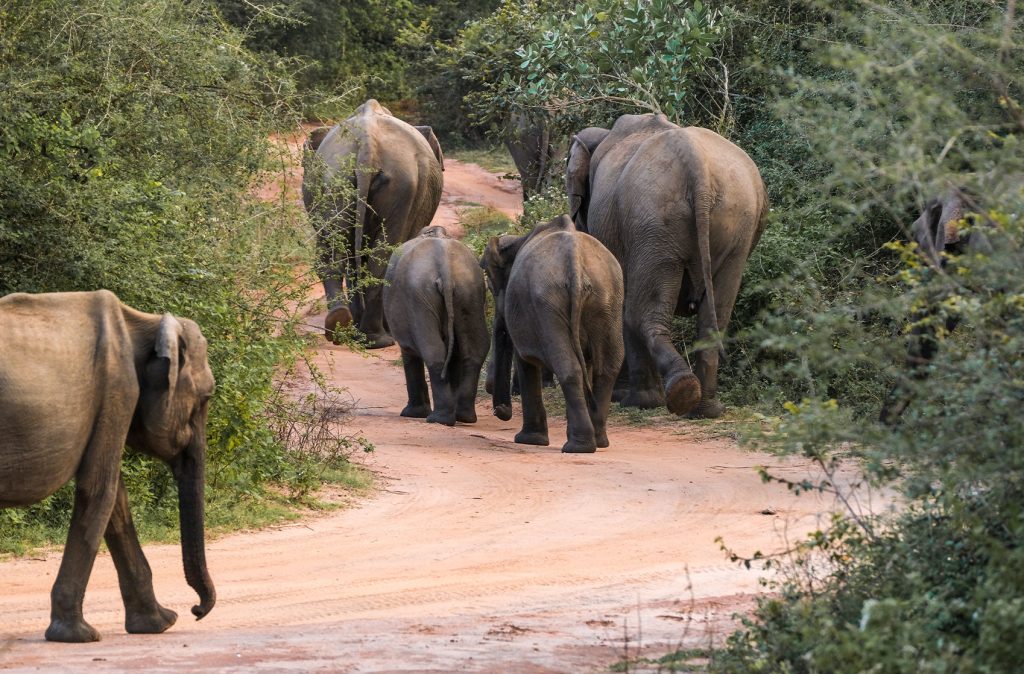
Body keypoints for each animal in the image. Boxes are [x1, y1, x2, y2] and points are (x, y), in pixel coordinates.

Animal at [0, 288, 216, 639]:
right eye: (206, 398)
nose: (195, 611)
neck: (143, 321)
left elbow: (117, 500)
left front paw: (159, 624)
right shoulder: (118, 389)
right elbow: (100, 488)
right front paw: (78, 636)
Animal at [305, 100, 446, 352]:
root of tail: (367, 144)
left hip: (334, 179)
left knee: (336, 252)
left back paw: (342, 327)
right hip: (402, 187)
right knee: (381, 258)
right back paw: (377, 339)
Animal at [387, 225, 491, 426]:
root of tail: (446, 269)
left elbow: (409, 351)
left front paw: (413, 414)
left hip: (419, 295)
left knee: (432, 351)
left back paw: (439, 419)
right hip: (470, 290)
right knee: (475, 348)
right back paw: (464, 417)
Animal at [485, 213, 626, 448]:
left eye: (491, 286)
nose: (500, 411)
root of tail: (576, 265)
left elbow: (525, 361)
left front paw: (529, 440)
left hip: (549, 304)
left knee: (568, 367)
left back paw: (579, 447)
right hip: (607, 301)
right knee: (606, 368)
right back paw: (598, 442)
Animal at [569, 113, 770, 417]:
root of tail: (698, 167)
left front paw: (623, 398)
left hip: (654, 223)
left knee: (639, 313)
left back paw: (656, 399)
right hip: (735, 223)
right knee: (714, 316)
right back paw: (704, 408)